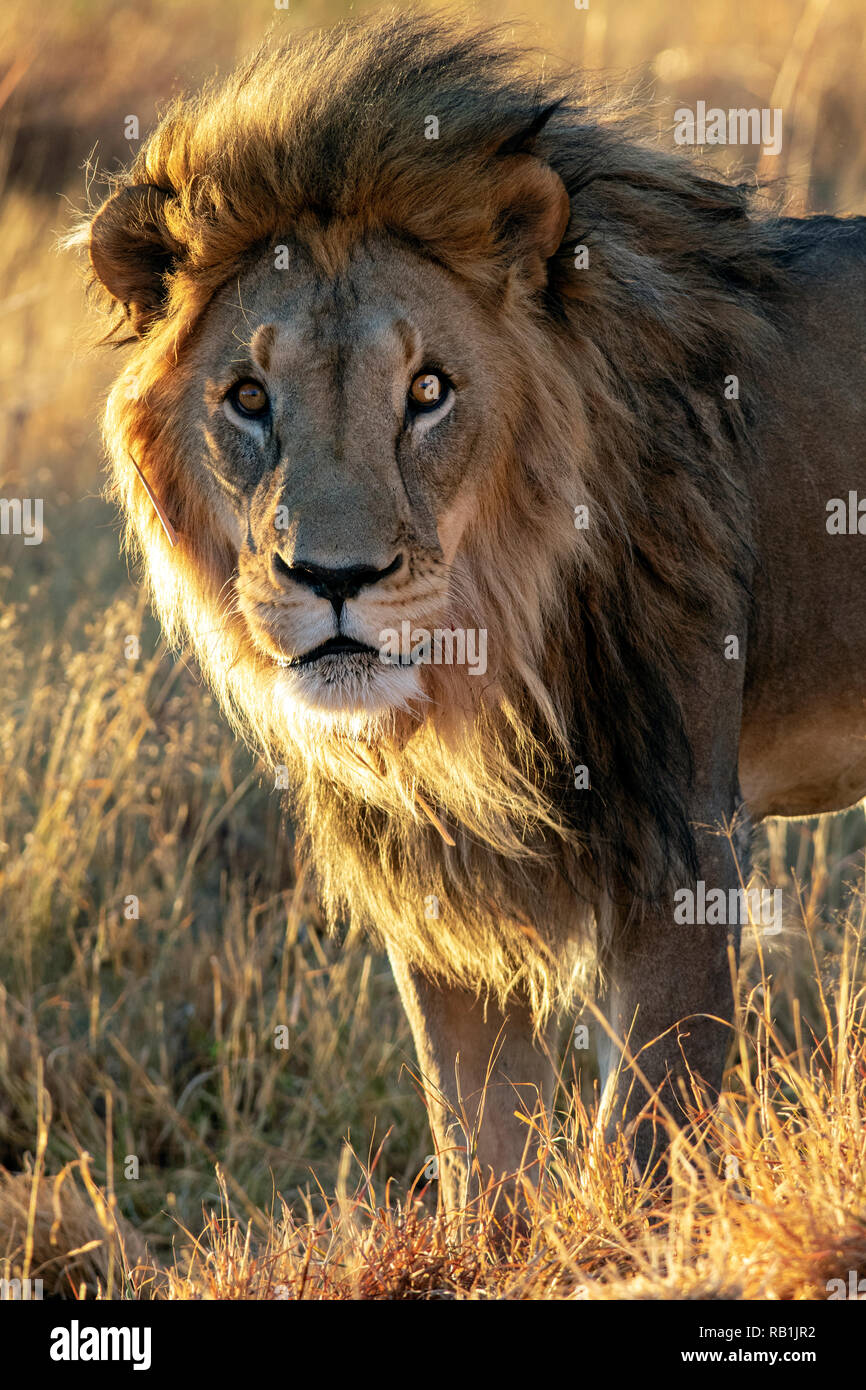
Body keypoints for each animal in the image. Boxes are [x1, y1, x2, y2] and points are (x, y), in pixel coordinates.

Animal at [76, 8, 866, 1206]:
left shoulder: (678, 838)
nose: (334, 578)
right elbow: (477, 1140)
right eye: (248, 400)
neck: (483, 656)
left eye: (428, 391)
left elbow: (642, 1139)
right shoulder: (434, 872)